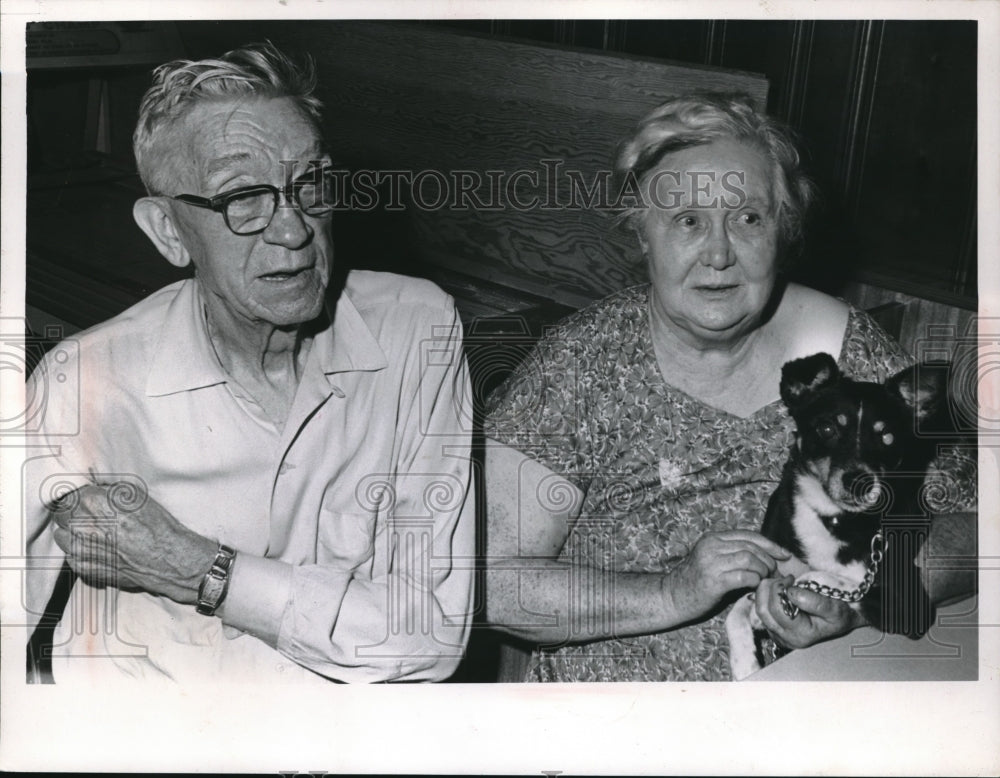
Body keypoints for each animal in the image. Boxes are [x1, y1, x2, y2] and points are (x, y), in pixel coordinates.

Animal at [728, 352, 944, 680]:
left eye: (888, 437)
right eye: (827, 429)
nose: (859, 481)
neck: (833, 517)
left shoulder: (908, 606)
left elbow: (837, 583)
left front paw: (794, 590)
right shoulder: (771, 565)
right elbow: (736, 609)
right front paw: (744, 662)